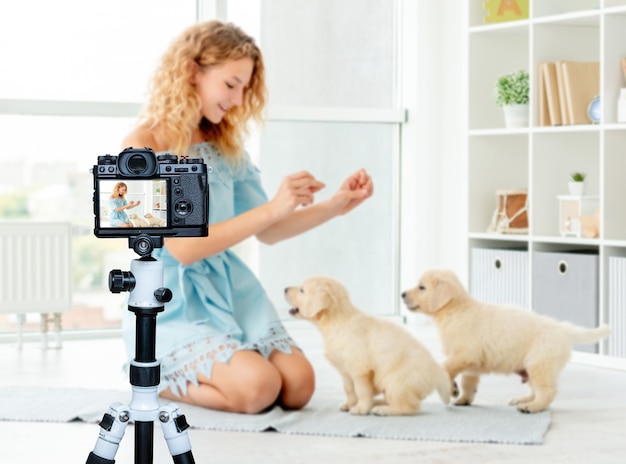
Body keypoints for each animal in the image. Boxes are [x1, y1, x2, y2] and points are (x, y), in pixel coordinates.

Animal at [282, 276, 448, 416]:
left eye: (302, 290)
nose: (284, 289)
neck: (337, 322)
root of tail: (437, 373)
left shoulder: (360, 370)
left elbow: (361, 391)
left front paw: (360, 408)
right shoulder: (345, 371)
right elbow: (349, 389)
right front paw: (349, 404)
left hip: (396, 382)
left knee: (410, 406)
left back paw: (383, 409)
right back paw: (378, 403)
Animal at [400, 268, 608, 414]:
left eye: (422, 287)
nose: (402, 294)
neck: (456, 310)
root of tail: (562, 329)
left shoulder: (465, 354)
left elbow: (445, 368)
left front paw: (452, 388)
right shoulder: (471, 364)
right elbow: (468, 382)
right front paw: (463, 397)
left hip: (539, 365)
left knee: (547, 392)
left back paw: (532, 407)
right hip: (532, 369)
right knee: (535, 390)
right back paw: (523, 400)